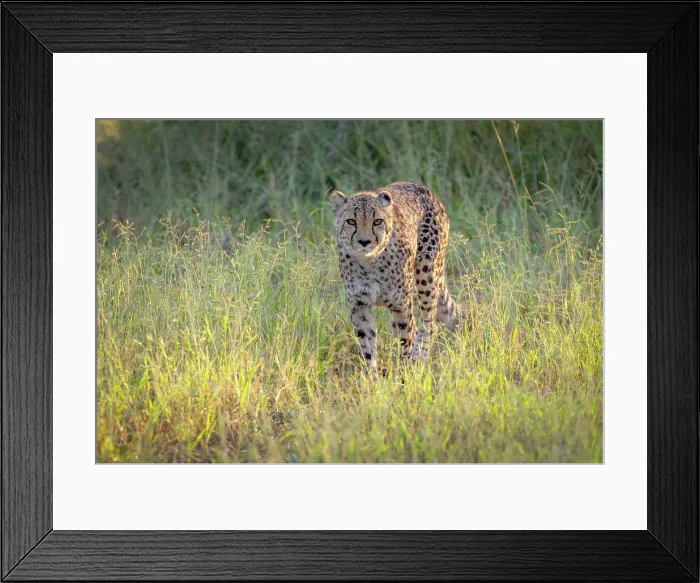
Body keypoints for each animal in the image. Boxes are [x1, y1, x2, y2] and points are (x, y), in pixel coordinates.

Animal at [330, 181, 468, 372]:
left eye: (377, 221)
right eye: (351, 221)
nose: (364, 242)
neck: (370, 262)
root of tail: (421, 188)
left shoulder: (401, 304)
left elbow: (404, 342)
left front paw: (403, 375)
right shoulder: (360, 305)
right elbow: (367, 345)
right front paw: (371, 376)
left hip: (426, 276)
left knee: (428, 325)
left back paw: (420, 359)